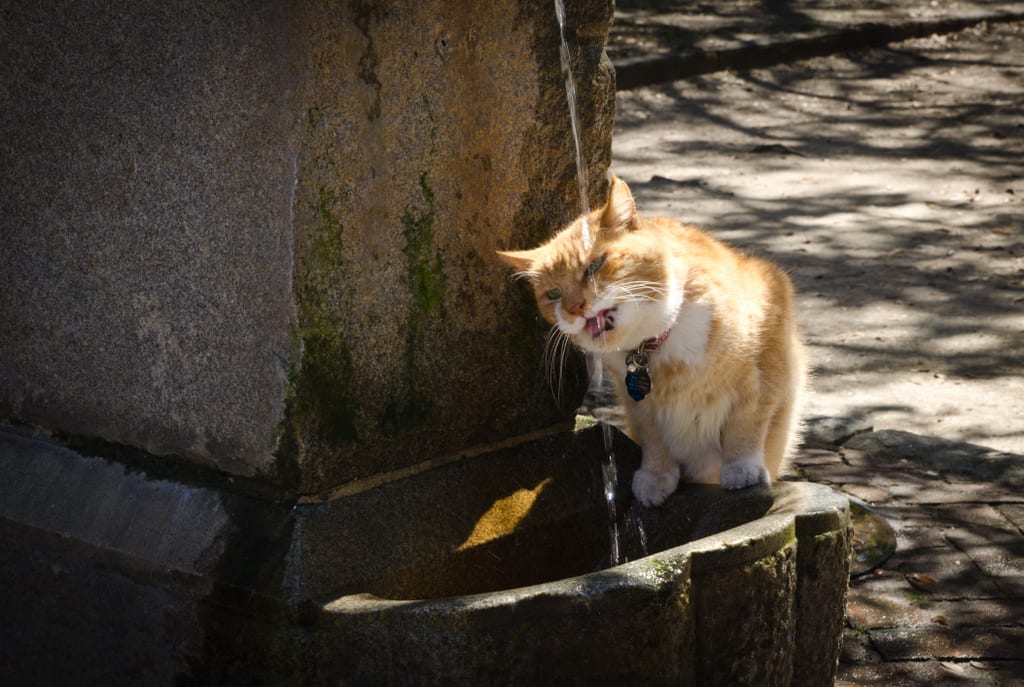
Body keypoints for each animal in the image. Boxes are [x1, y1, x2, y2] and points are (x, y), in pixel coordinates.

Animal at [499, 175, 802, 507]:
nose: (575, 307)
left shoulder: (762, 369)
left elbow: (746, 424)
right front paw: (656, 476)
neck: (655, 345)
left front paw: (741, 469)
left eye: (594, 266)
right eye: (553, 294)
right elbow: (653, 438)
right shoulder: (636, 402)